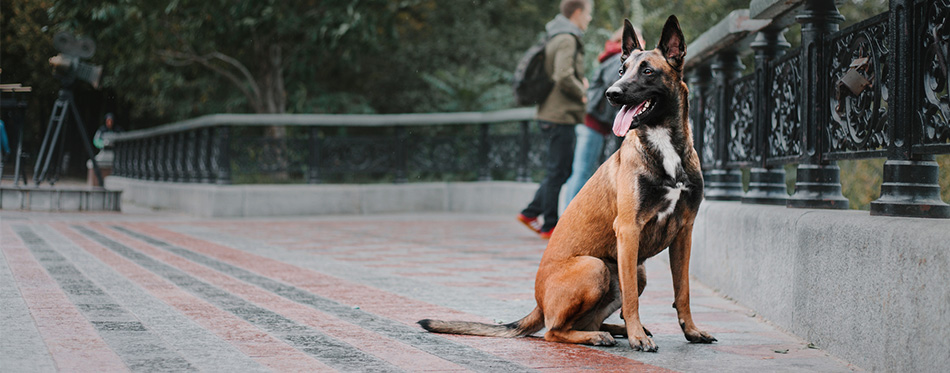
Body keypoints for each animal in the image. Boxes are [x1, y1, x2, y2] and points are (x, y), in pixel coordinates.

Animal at [416, 15, 712, 352]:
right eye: (621, 70)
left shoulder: (684, 231)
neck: (663, 147)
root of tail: (538, 303)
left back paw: (614, 330)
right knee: (554, 330)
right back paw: (607, 335)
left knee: (587, 320)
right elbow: (633, 301)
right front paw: (638, 336)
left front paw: (691, 331)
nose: (612, 93)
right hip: (597, 266)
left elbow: (683, 291)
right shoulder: (628, 230)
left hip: (635, 269)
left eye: (648, 71)